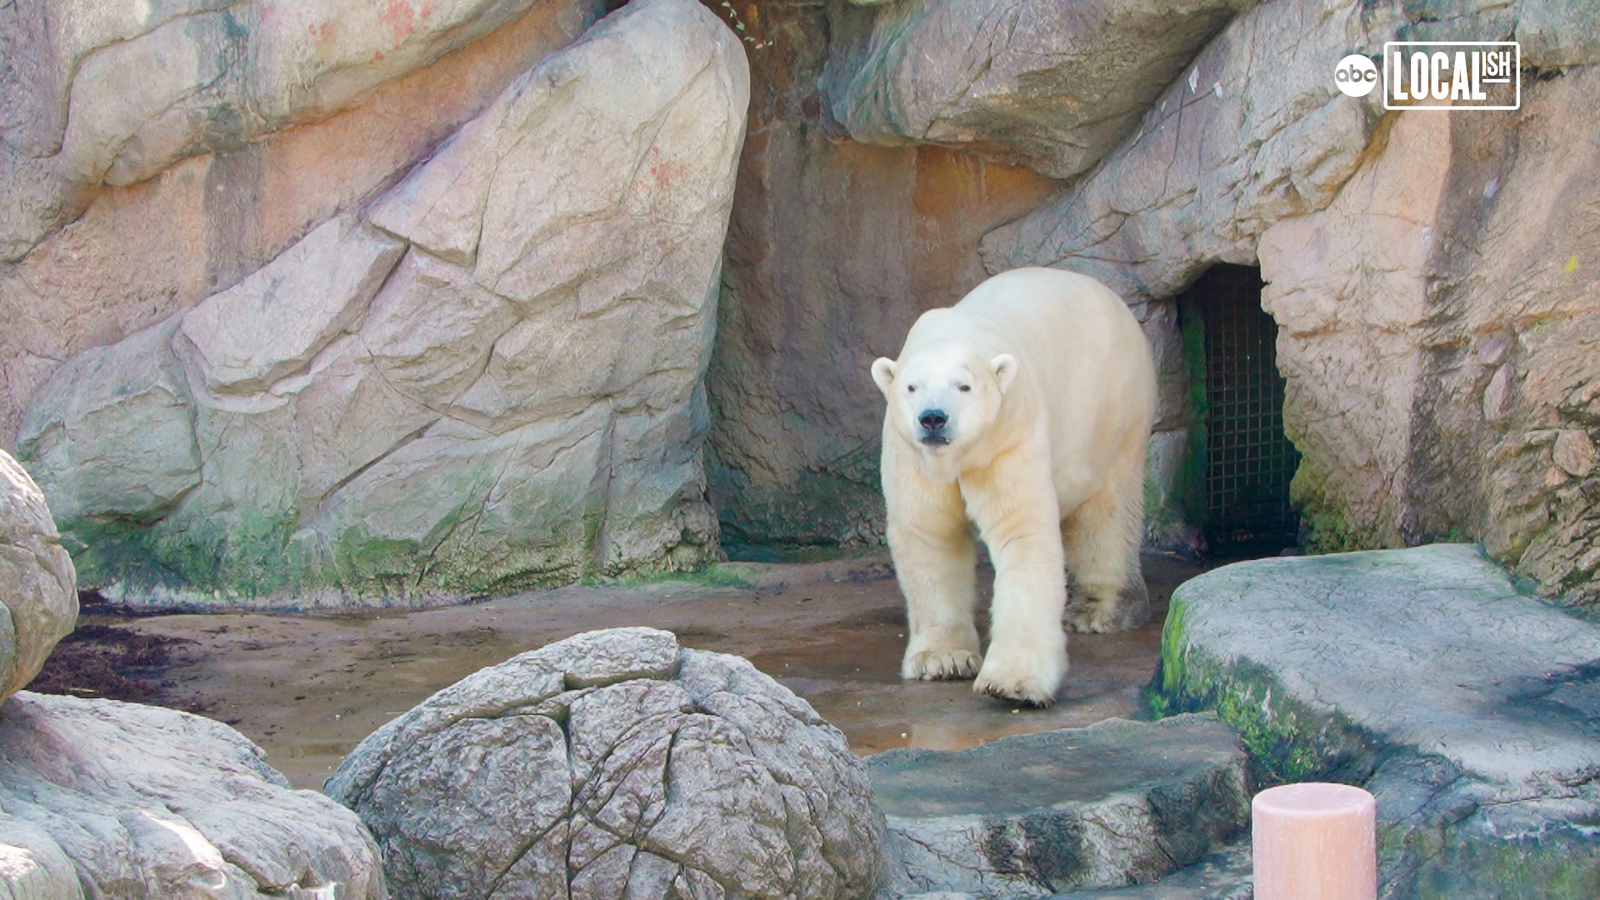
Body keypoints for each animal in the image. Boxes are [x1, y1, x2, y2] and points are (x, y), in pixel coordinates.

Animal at [870, 267, 1157, 706]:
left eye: (964, 386)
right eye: (911, 387)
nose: (933, 418)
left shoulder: (1008, 433)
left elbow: (1021, 534)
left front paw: (1013, 683)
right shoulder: (912, 455)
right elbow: (929, 534)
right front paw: (942, 660)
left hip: (1114, 408)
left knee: (1105, 511)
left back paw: (1100, 611)